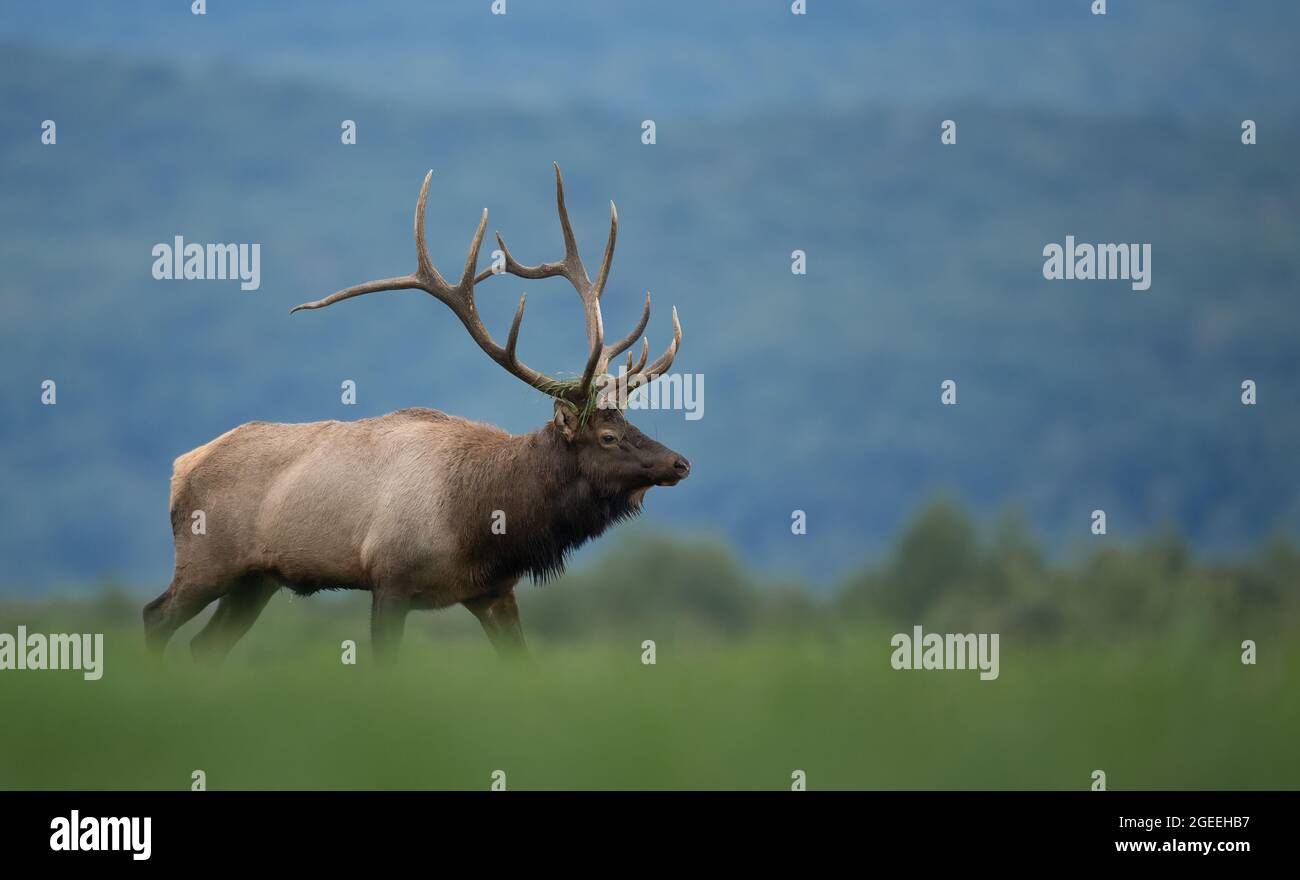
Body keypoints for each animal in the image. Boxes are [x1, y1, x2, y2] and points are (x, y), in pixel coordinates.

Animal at [143, 164, 689, 663]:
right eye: (607, 437)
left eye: (631, 423)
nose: (680, 462)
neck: (483, 520)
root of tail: (181, 467)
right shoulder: (390, 579)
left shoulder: (494, 592)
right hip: (206, 560)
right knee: (155, 617)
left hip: (254, 580)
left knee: (204, 645)